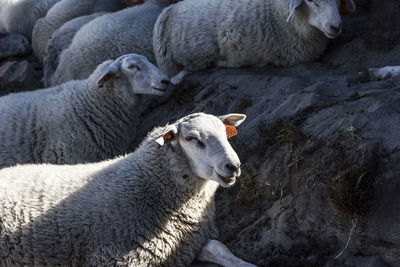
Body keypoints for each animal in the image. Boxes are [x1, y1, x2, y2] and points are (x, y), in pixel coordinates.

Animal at [0, 113, 256, 267]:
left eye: (225, 134)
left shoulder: (186, 242)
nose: (233, 166)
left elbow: (219, 248)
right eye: (192, 138)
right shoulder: (117, 256)